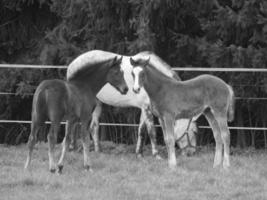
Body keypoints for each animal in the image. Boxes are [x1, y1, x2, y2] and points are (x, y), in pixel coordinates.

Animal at [68, 50, 198, 159]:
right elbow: (152, 131)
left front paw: (139, 153)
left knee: (94, 126)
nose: (192, 152)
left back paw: (98, 151)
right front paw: (156, 155)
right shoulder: (147, 109)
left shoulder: (144, 108)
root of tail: (72, 65)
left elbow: (142, 130)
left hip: (98, 103)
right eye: (195, 131)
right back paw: (72, 148)